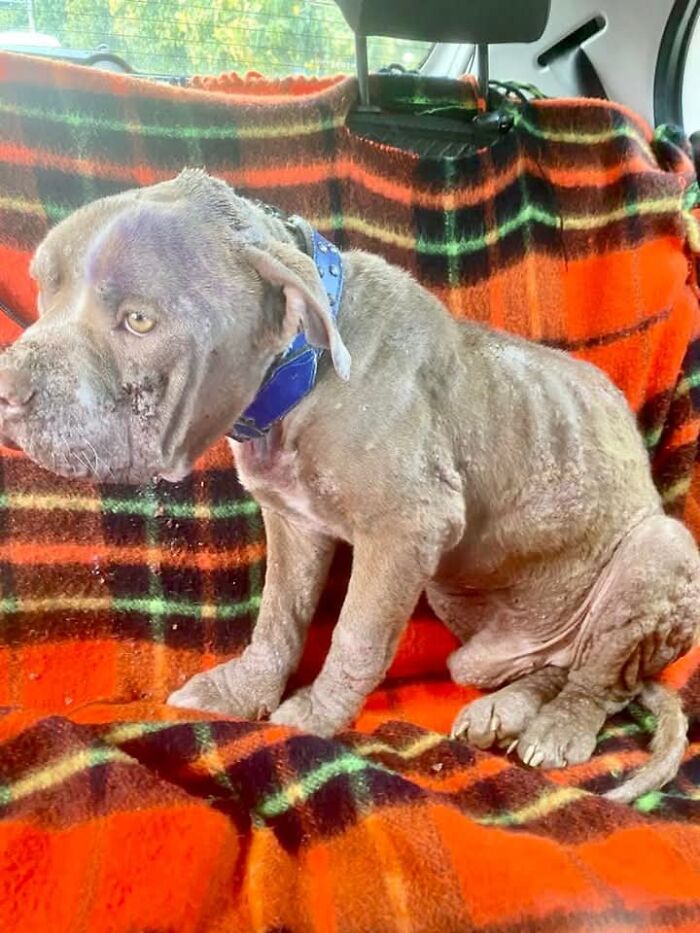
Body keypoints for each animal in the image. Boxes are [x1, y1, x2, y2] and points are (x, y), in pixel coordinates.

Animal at [2, 169, 696, 800]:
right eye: (42, 290)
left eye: (139, 321)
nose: (7, 387)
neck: (300, 372)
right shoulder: (294, 524)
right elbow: (278, 618)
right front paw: (243, 691)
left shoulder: (406, 529)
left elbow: (356, 635)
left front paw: (315, 717)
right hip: (472, 632)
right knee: (554, 665)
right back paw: (504, 710)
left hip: (657, 552)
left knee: (600, 683)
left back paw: (558, 729)